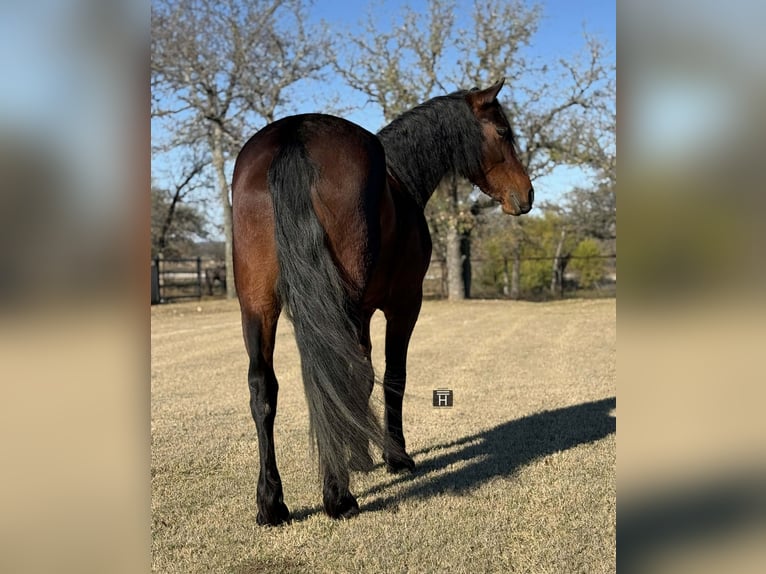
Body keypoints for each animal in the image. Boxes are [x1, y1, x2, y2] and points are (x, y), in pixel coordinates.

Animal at [231, 79, 533, 526]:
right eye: (503, 132)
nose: (526, 194)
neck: (400, 179)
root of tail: (293, 135)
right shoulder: (402, 304)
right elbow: (391, 377)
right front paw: (394, 457)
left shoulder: (362, 313)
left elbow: (365, 376)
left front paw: (361, 455)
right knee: (331, 376)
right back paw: (338, 497)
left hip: (257, 306)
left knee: (263, 388)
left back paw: (272, 504)